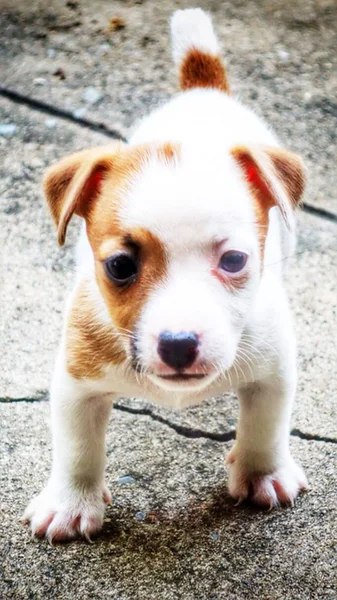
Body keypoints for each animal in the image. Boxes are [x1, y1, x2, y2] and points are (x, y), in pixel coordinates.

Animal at [23, 9, 308, 544]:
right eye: (119, 266)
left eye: (234, 260)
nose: (178, 345)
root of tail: (202, 88)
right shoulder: (75, 382)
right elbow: (76, 447)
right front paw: (70, 503)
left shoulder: (273, 367)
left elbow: (266, 425)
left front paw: (262, 472)